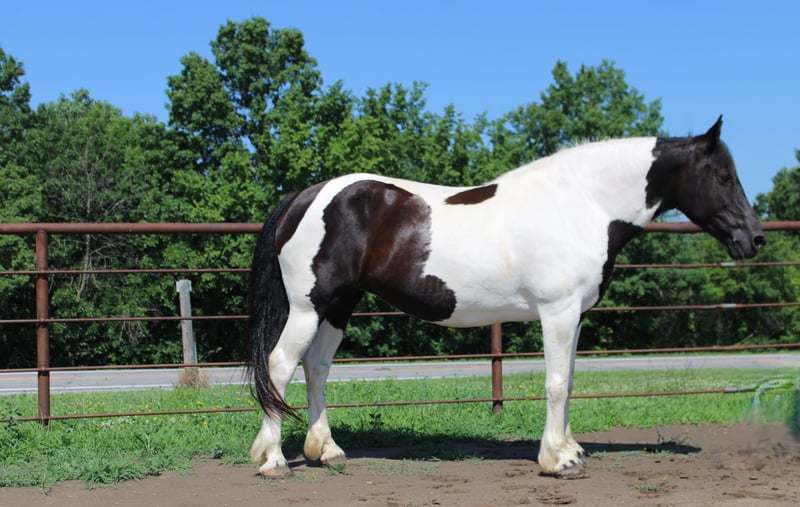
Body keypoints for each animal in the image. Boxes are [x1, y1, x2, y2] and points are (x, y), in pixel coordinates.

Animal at [247, 116, 765, 478]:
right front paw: (558, 461)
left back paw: (328, 451)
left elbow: (569, 380)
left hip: (338, 306)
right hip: (309, 307)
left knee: (316, 367)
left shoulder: (576, 316)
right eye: (722, 176)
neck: (581, 204)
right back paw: (272, 460)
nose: (755, 239)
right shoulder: (557, 313)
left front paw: (570, 448)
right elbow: (555, 383)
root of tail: (304, 197)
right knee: (279, 366)